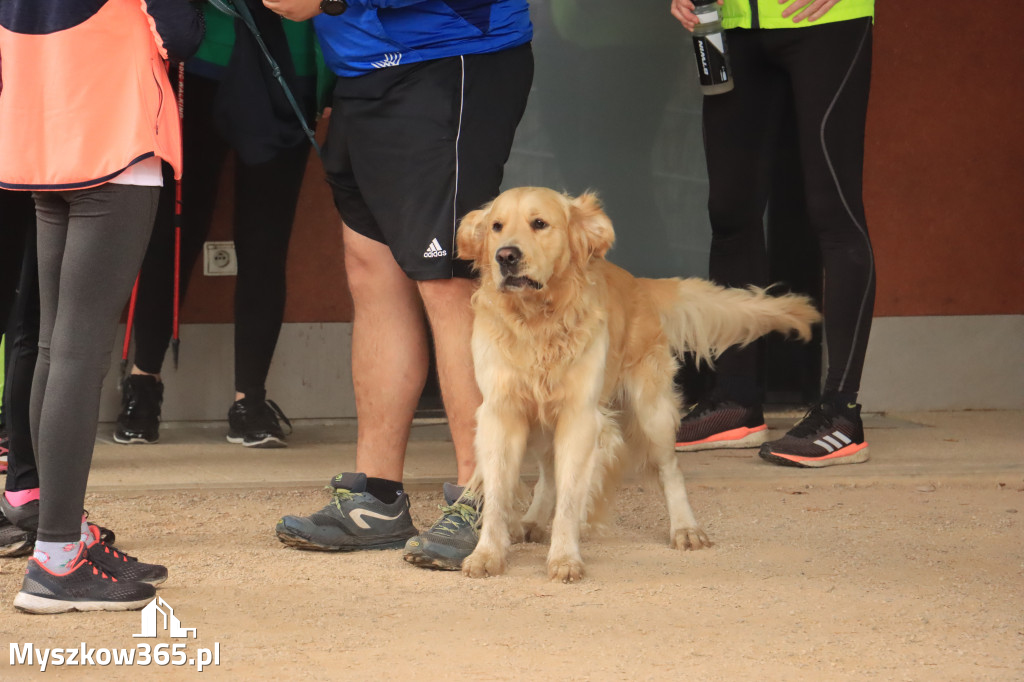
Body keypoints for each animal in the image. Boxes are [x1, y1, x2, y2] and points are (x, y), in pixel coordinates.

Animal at [460, 187, 819, 577]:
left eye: (539, 223)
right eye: (496, 227)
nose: (505, 256)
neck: (537, 319)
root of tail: (639, 283)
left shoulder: (579, 415)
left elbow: (570, 497)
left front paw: (565, 556)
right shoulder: (502, 412)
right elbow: (498, 492)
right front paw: (488, 553)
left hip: (651, 412)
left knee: (670, 471)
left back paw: (685, 528)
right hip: (543, 422)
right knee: (549, 474)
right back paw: (535, 520)